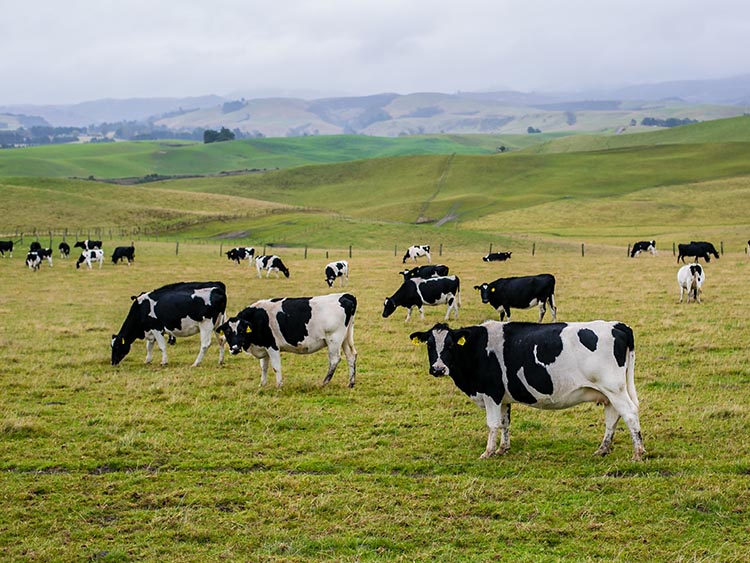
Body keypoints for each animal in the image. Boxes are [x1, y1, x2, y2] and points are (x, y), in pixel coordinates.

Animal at [217, 290, 358, 388]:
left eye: (241, 330)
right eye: (228, 332)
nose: (235, 349)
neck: (257, 318)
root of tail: (345, 295)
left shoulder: (272, 346)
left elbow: (276, 367)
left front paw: (279, 385)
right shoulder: (263, 347)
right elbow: (264, 367)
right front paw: (262, 384)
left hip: (334, 339)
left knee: (334, 359)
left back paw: (324, 383)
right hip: (345, 338)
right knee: (351, 356)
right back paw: (350, 383)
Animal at [412, 322, 648, 462]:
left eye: (451, 344)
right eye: (429, 344)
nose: (438, 369)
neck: (476, 348)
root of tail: (616, 325)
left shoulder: (491, 393)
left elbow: (492, 424)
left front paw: (488, 452)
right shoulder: (504, 398)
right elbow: (505, 423)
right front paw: (503, 448)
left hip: (614, 388)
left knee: (629, 413)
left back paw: (638, 453)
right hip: (608, 394)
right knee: (612, 418)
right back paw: (603, 449)